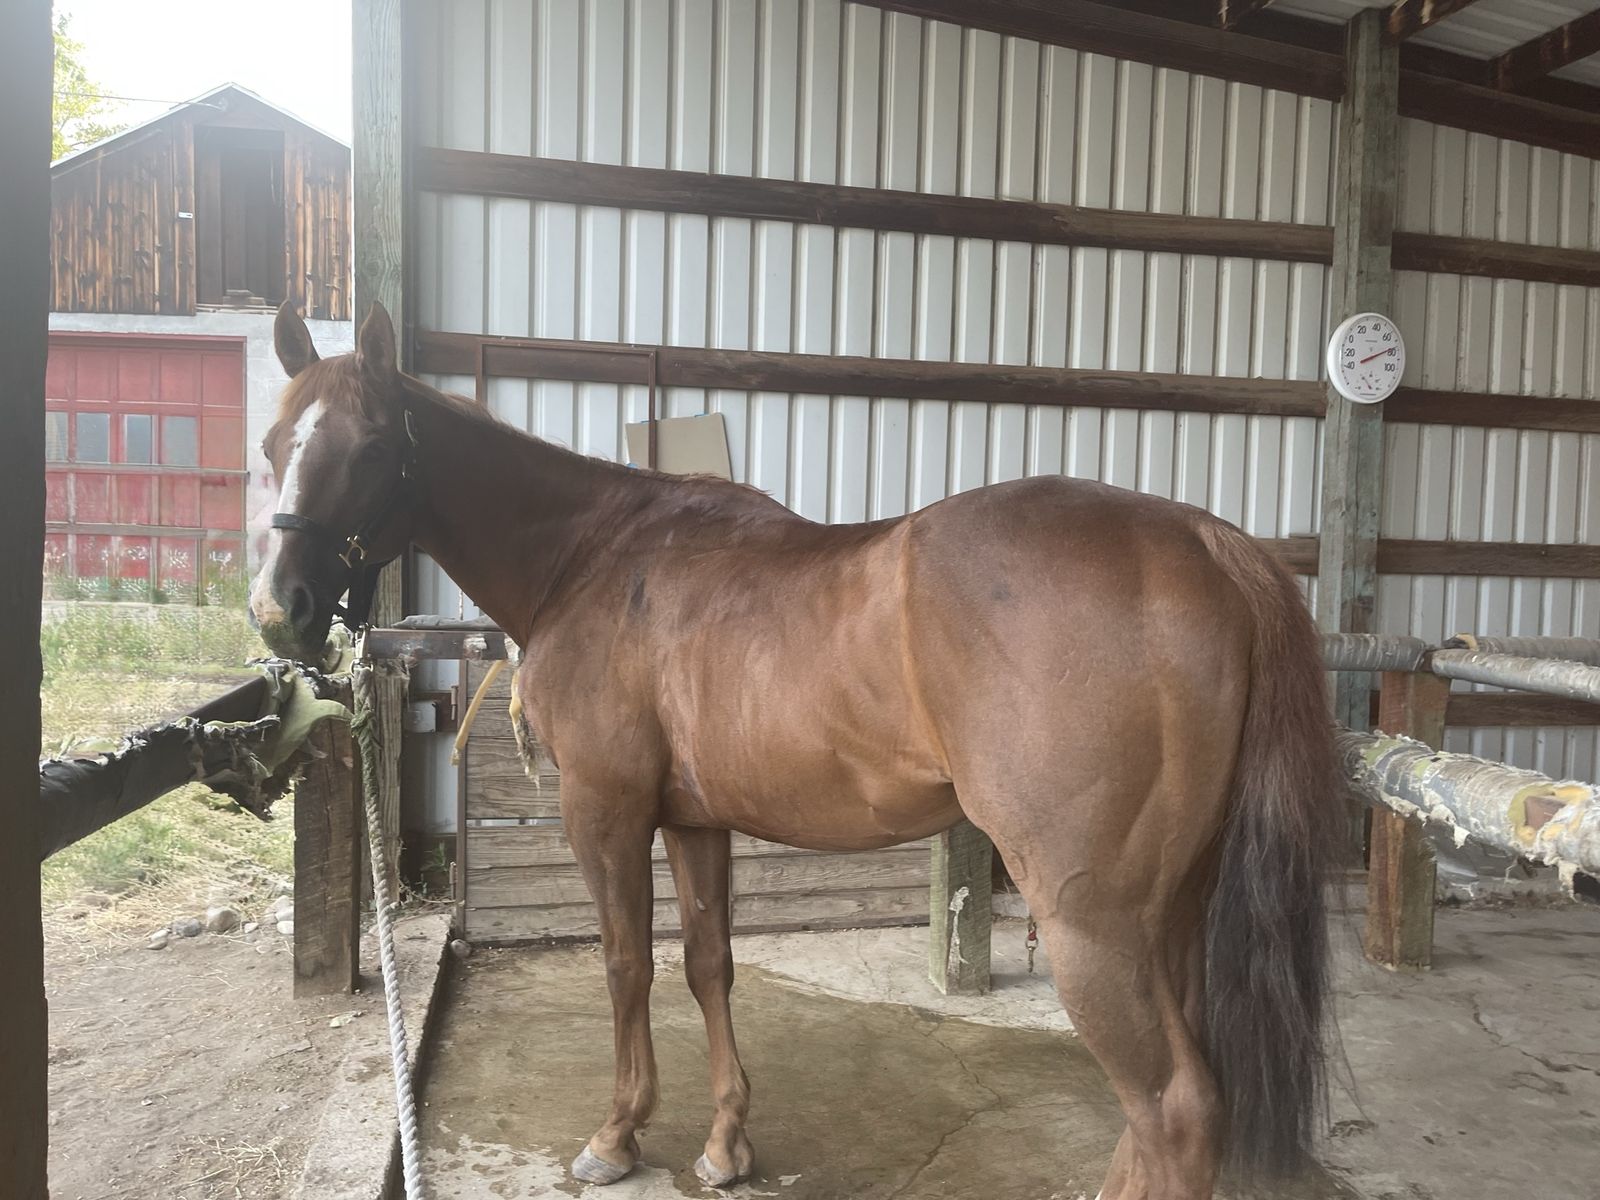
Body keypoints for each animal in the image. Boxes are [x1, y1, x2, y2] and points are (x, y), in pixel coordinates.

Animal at [251, 301, 1341, 1200]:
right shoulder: (693, 821)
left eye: (368, 447)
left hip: (1093, 924)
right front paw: (726, 1143)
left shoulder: (605, 811)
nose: (279, 611)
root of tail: (1206, 545)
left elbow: (624, 963)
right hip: (1170, 914)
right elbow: (707, 964)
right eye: (272, 443)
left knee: (1174, 1110)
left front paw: (616, 1135)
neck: (591, 556)